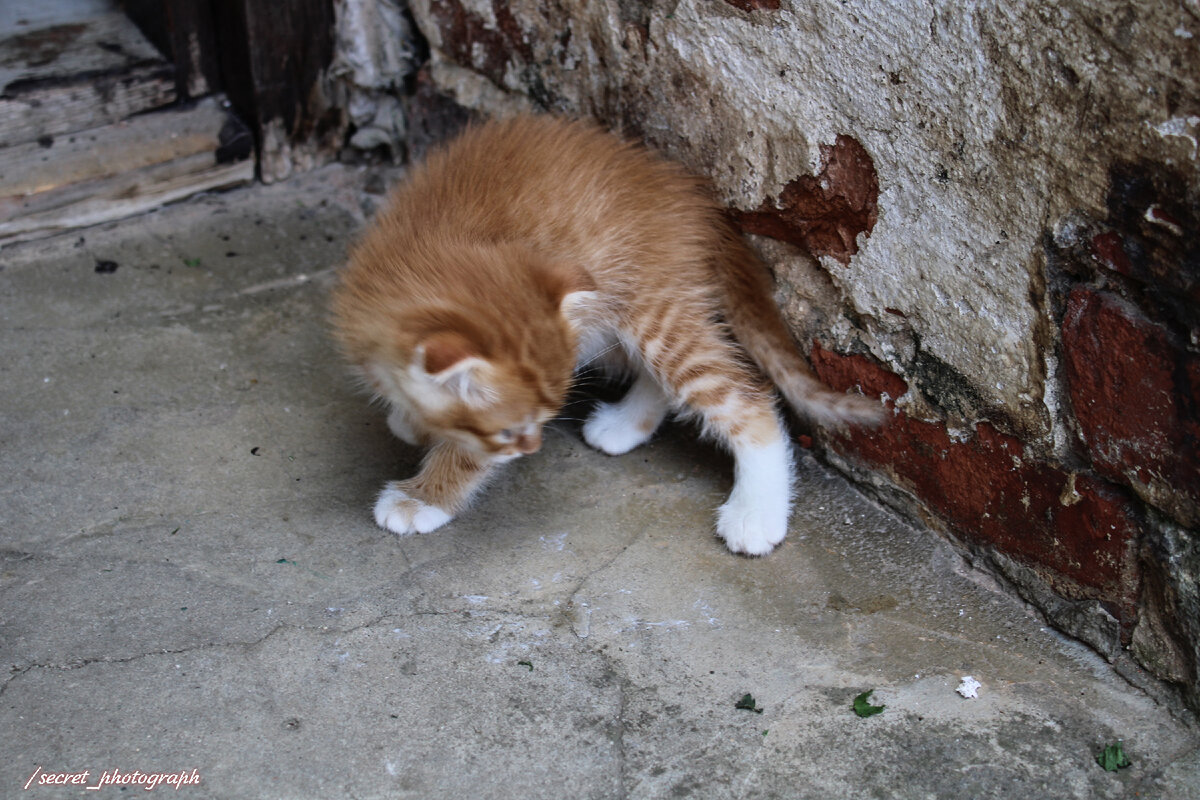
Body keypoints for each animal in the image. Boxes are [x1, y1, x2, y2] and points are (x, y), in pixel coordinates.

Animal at [331, 115, 883, 556]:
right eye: (511, 431)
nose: (531, 449)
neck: (425, 246)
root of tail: (702, 207)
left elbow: (466, 454)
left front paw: (423, 497)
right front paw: (409, 419)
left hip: (652, 305)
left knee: (742, 396)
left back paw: (756, 514)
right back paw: (625, 425)